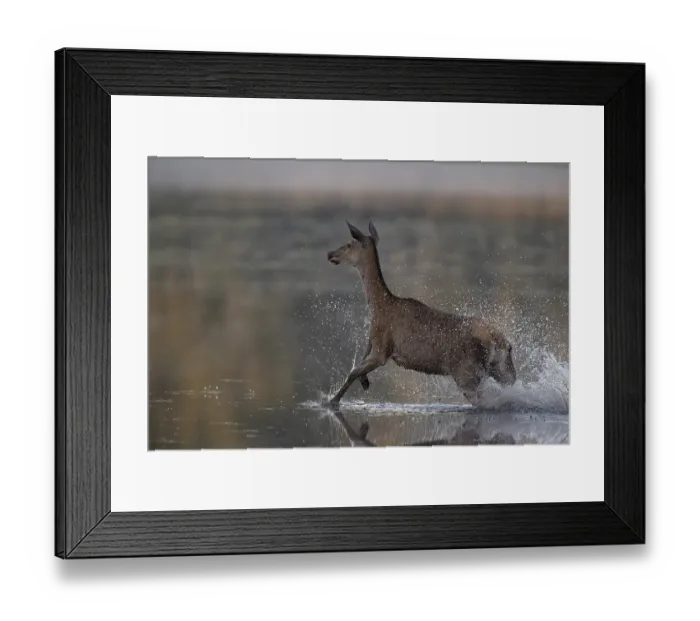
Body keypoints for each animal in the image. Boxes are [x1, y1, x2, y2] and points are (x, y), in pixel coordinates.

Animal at [326, 220, 516, 407]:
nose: (330, 254)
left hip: (466, 371)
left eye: (349, 244)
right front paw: (363, 382)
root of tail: (499, 341)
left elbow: (352, 372)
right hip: (501, 370)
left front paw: (331, 400)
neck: (378, 308)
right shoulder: (373, 345)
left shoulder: (382, 350)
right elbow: (357, 369)